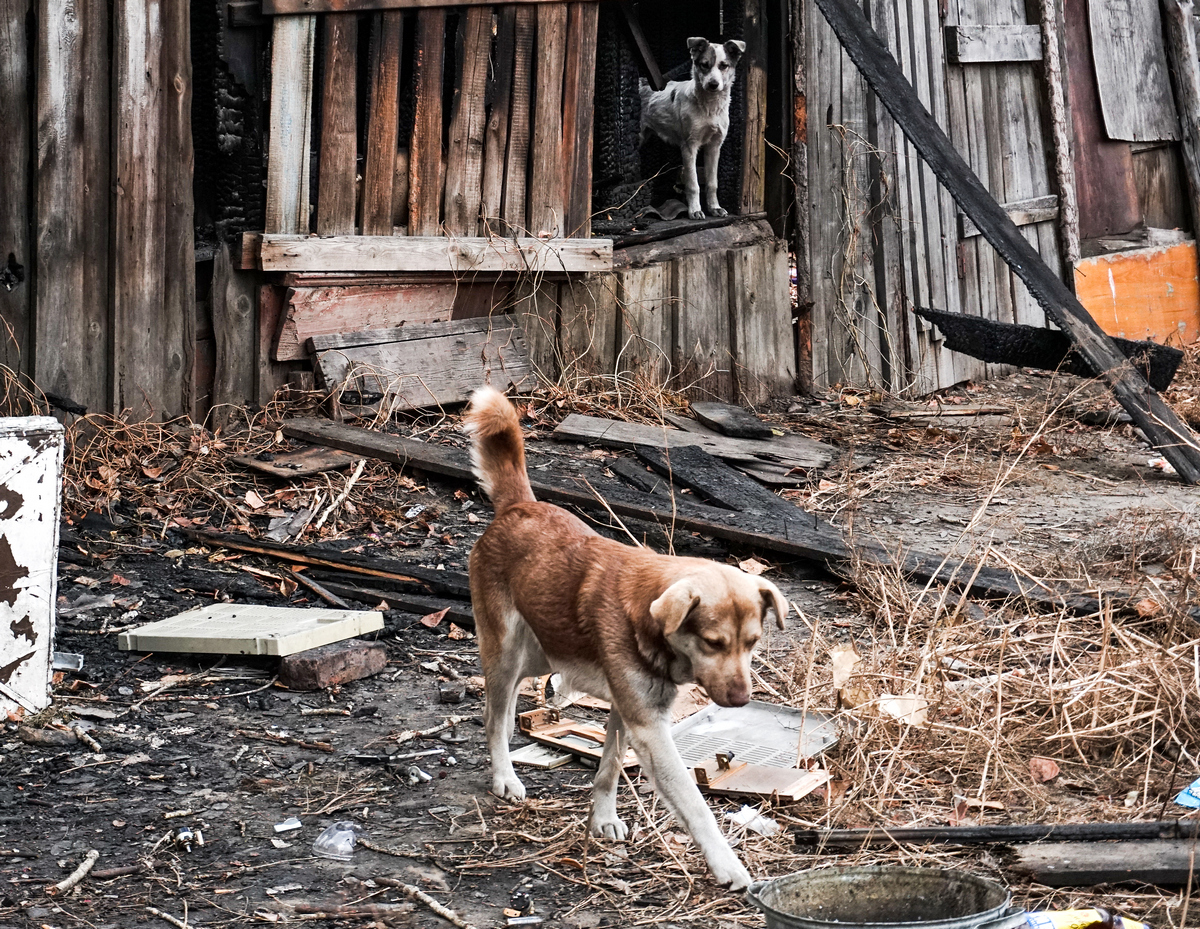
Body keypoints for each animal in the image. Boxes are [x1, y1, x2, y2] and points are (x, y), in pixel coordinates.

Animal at [460, 386, 787, 888]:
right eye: (713, 643)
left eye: (752, 643)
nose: (741, 700)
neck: (650, 626)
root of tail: (519, 507)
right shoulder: (650, 728)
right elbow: (694, 804)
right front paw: (727, 865)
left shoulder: (626, 709)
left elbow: (610, 766)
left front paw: (603, 819)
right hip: (507, 650)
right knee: (494, 718)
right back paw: (504, 777)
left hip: (542, 653)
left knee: (505, 704)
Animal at [643, 40, 744, 223]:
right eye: (704, 65)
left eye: (724, 66)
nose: (713, 84)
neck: (710, 108)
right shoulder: (689, 146)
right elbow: (693, 184)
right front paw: (695, 210)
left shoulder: (714, 147)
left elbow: (712, 183)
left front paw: (714, 208)